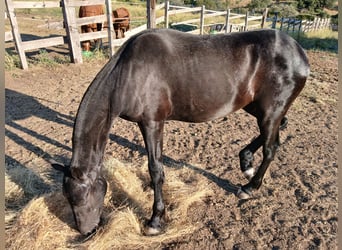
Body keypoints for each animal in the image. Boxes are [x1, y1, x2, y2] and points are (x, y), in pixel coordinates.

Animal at [52, 28, 310, 236]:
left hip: (269, 111)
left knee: (271, 148)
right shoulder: (146, 123)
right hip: (258, 108)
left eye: (83, 197)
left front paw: (155, 221)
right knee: (278, 131)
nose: (86, 231)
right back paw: (245, 163)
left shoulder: (153, 123)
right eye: (68, 199)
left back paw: (249, 188)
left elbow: (155, 169)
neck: (128, 73)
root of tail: (298, 52)